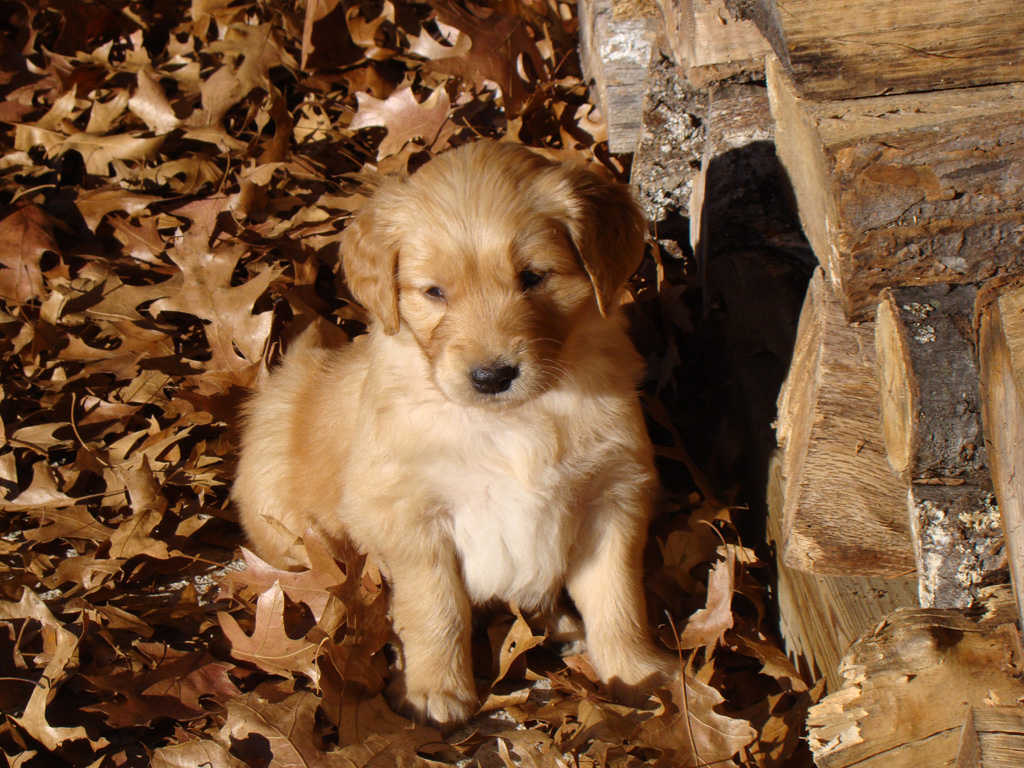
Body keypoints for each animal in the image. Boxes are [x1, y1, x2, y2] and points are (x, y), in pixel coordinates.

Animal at [234, 140, 675, 733]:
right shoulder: (406, 514)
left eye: (533, 276)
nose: (491, 376)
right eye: (435, 292)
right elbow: (435, 606)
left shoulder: (613, 495)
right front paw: (434, 689)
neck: (514, 419)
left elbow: (618, 596)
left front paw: (636, 672)